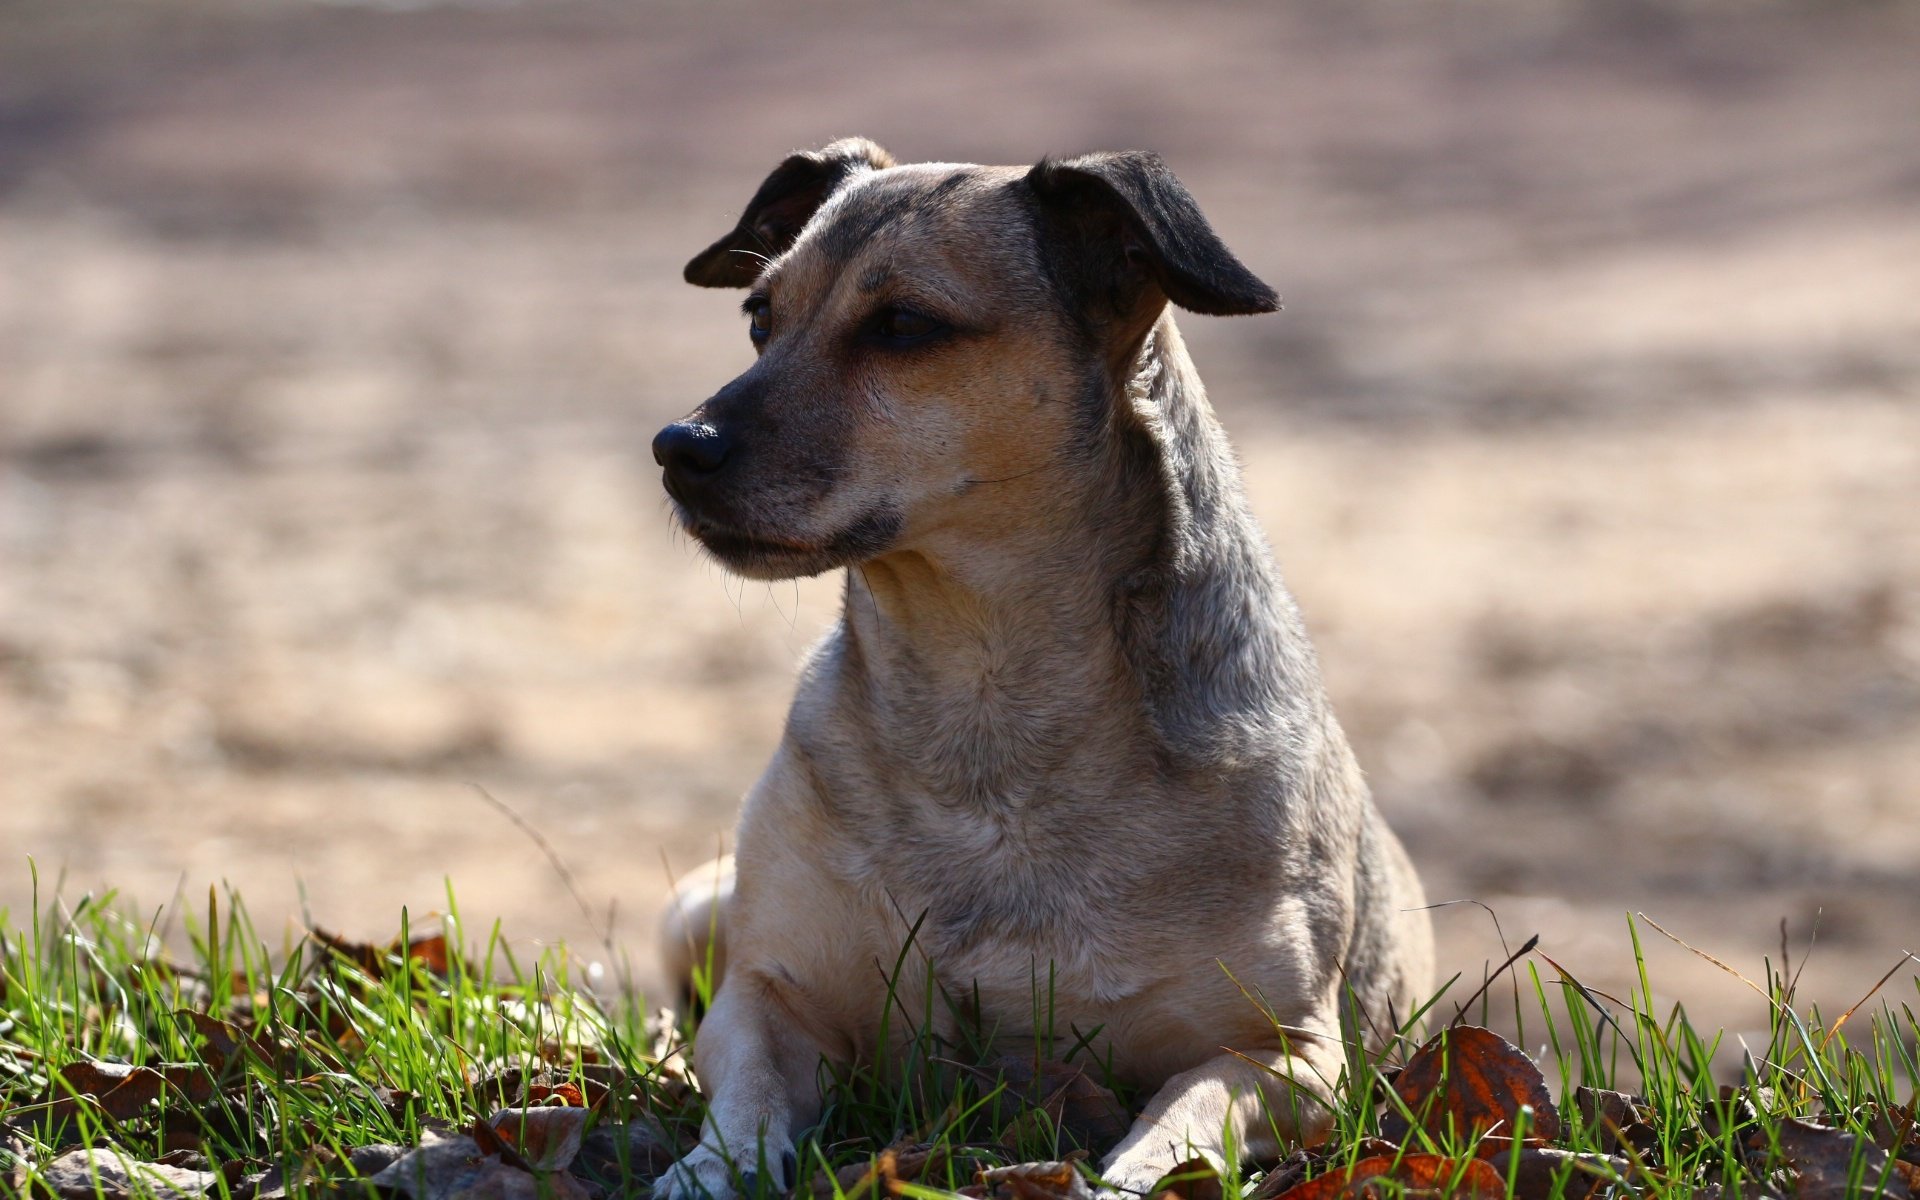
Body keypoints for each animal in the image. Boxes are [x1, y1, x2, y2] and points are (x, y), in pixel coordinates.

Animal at [652, 143, 1436, 1198]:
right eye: (759, 320)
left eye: (903, 325)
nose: (676, 448)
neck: (981, 693)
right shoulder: (769, 991)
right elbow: (748, 1088)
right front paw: (712, 1166)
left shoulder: (1291, 1057)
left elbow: (1181, 1111)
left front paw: (1127, 1172)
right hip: (696, 909)